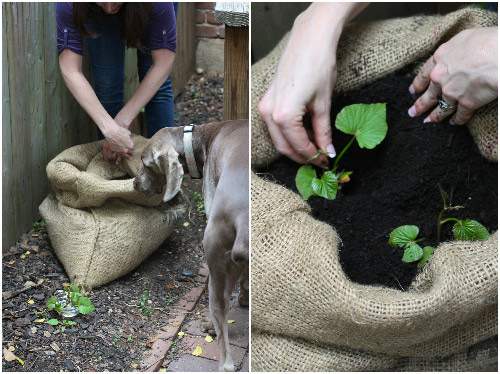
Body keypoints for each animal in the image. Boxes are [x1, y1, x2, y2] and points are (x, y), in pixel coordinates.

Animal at [134, 120, 249, 372]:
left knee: (220, 316)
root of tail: (243, 217)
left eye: (144, 163)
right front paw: (246, 299)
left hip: (215, 258)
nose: (134, 184)